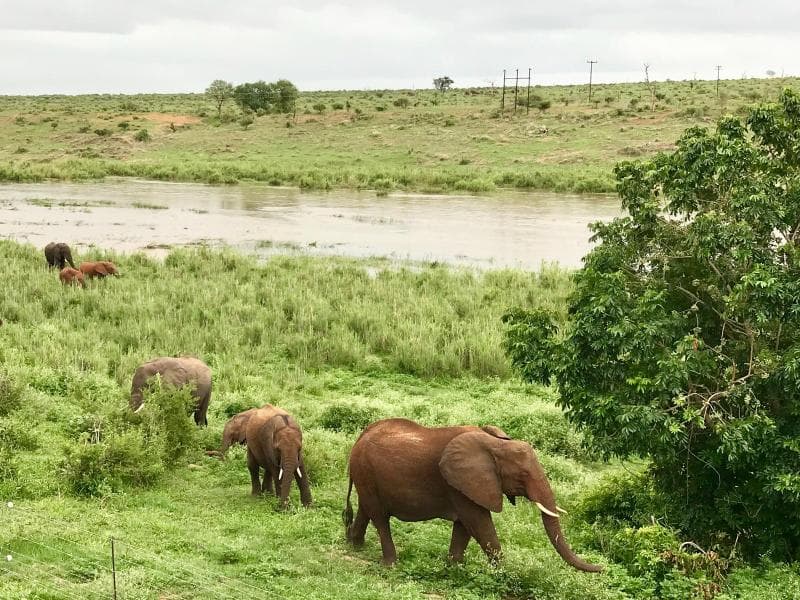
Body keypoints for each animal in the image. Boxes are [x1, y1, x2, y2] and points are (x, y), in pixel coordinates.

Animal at [344, 418, 602, 572]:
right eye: (522, 476)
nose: (602, 568)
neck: (496, 444)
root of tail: (360, 436)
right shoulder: (459, 484)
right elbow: (480, 524)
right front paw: (503, 574)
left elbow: (464, 527)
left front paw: (454, 569)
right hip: (365, 470)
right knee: (380, 517)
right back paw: (390, 565)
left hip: (365, 474)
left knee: (366, 508)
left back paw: (355, 546)